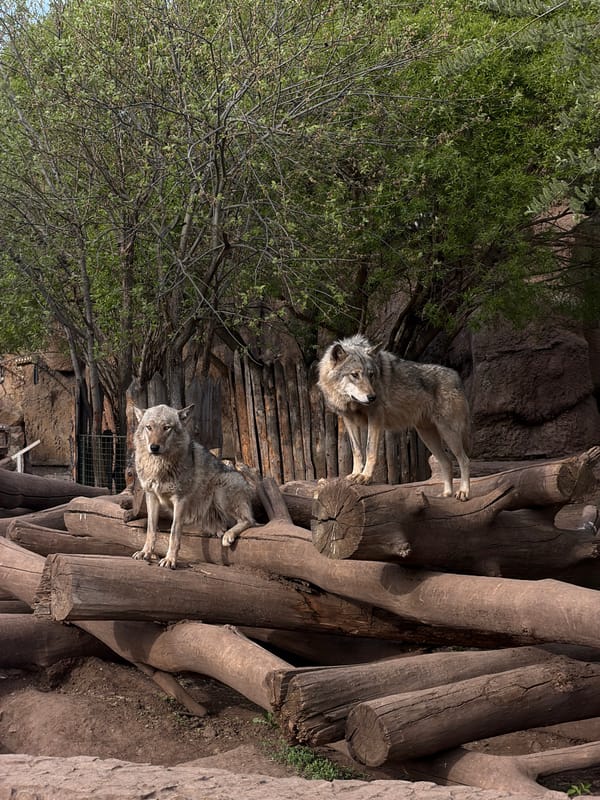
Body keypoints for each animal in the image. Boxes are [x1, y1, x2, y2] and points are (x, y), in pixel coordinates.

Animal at [132, 403, 255, 569]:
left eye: (166, 428)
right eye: (149, 427)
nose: (154, 447)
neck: (159, 466)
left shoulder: (180, 500)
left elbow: (174, 533)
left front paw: (170, 560)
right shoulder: (151, 496)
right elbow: (151, 530)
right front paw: (145, 553)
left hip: (220, 488)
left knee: (250, 520)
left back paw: (228, 535)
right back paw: (220, 530)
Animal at [317, 334, 471, 500]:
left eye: (371, 375)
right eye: (355, 375)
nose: (372, 397)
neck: (350, 402)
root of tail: (457, 377)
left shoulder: (375, 417)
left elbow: (370, 450)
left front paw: (365, 476)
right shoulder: (348, 421)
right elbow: (357, 451)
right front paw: (355, 474)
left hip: (448, 433)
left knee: (464, 460)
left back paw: (463, 492)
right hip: (427, 436)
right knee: (447, 462)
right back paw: (446, 494)